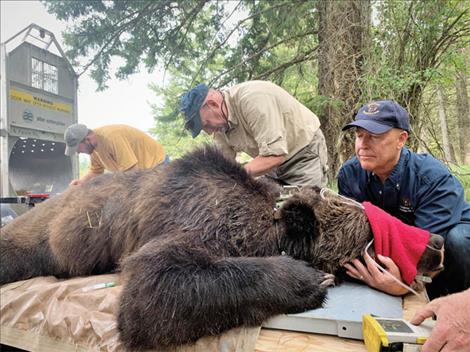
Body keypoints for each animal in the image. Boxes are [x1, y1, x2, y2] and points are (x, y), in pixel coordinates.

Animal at [0, 145, 444, 350]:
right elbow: (152, 290)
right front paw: (307, 279)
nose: (438, 244)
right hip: (43, 235)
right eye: (372, 235)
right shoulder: (193, 222)